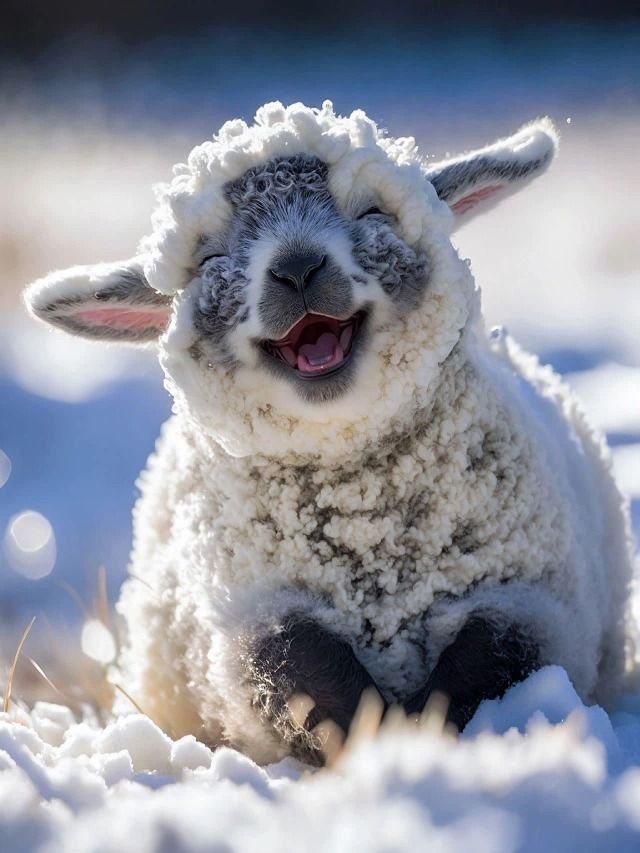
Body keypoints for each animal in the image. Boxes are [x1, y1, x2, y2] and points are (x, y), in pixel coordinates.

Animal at [23, 101, 636, 764]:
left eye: (372, 214)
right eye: (210, 261)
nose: (297, 267)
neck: (365, 519)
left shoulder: (529, 593)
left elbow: (486, 657)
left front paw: (425, 735)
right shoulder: (254, 609)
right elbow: (297, 668)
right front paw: (372, 738)